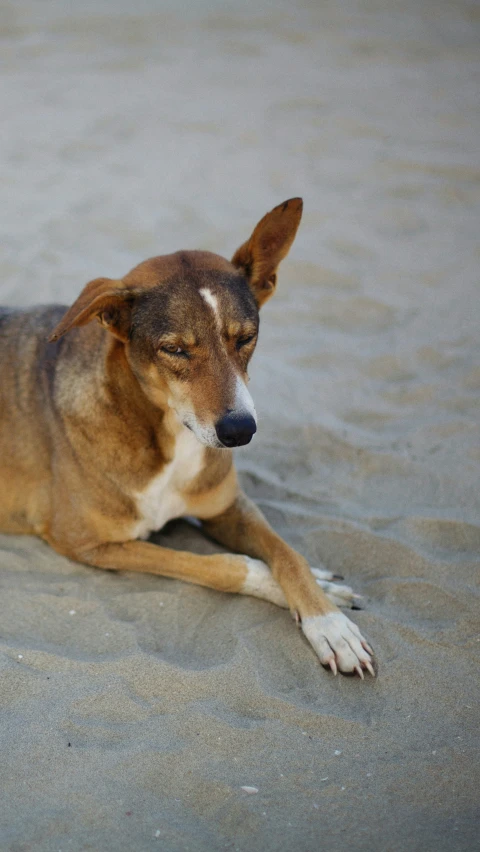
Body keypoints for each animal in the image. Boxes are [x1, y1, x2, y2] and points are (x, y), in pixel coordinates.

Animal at [0, 200, 376, 680]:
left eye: (246, 337)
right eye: (175, 349)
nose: (240, 430)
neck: (167, 438)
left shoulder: (227, 507)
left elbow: (288, 553)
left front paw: (327, 619)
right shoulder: (86, 543)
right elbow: (222, 565)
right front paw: (311, 597)